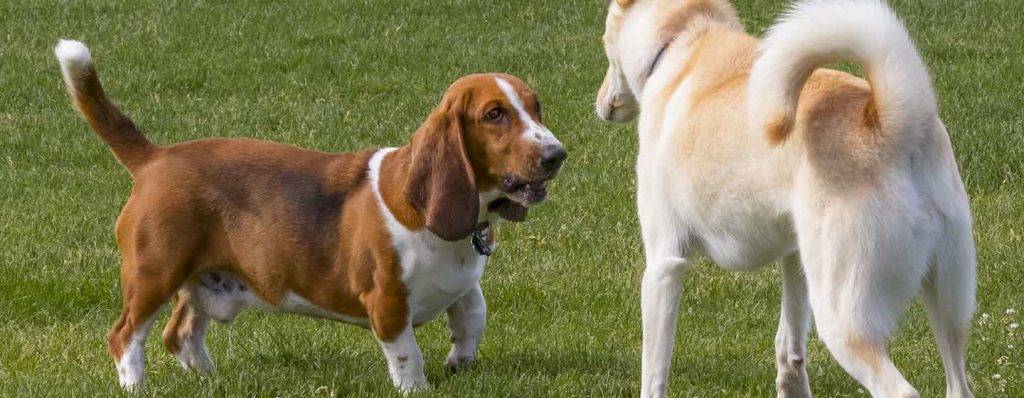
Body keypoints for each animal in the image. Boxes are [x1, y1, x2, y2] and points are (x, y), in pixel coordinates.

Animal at [54, 38, 569, 392]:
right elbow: (408, 356)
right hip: (155, 272)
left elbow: (473, 314)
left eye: (536, 106)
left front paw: (460, 362)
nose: (557, 155)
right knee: (126, 336)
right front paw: (419, 388)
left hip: (200, 276)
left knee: (179, 334)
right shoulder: (387, 303)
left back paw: (212, 381)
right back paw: (137, 386)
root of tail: (155, 157)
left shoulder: (463, 282)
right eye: (495, 115)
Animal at [598, 1, 978, 394]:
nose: (599, 105)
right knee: (958, 383)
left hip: (843, 317)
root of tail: (892, 123)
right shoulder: (795, 256)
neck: (685, 39)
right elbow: (790, 344)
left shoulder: (664, 265)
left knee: (900, 389)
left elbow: (653, 371)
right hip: (947, 303)